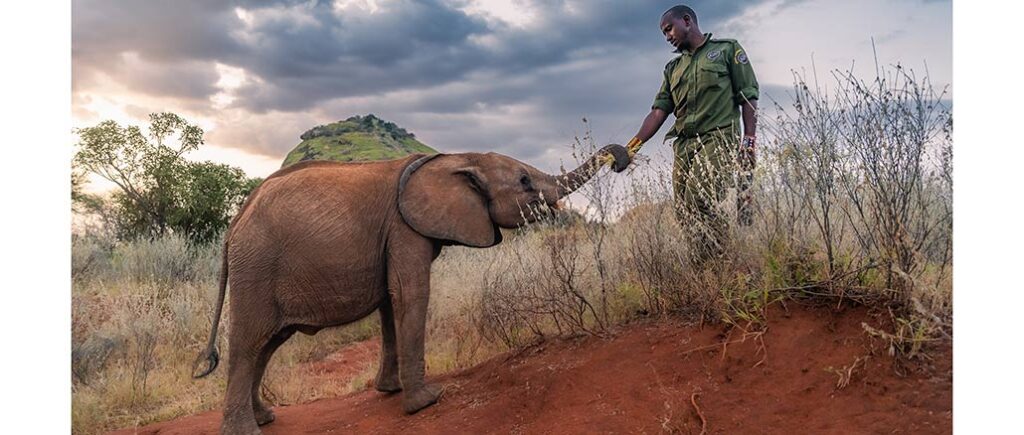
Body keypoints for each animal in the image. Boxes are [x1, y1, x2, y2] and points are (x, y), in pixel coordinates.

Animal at [192, 144, 631, 435]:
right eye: (523, 181)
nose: (621, 158)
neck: (457, 157)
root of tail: (234, 224)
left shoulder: (393, 237)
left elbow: (392, 301)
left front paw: (391, 391)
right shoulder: (405, 229)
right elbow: (411, 294)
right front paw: (426, 401)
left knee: (267, 345)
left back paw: (265, 418)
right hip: (257, 267)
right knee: (250, 342)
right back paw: (245, 431)